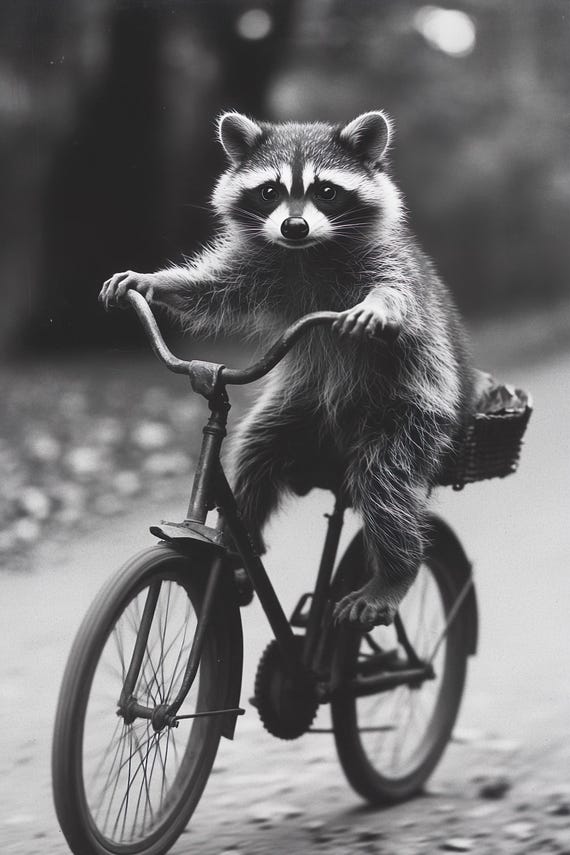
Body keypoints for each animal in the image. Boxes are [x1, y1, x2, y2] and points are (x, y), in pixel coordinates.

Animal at [100, 110, 476, 627]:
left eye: (327, 191)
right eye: (269, 191)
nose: (294, 226)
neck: (307, 251)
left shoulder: (390, 264)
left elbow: (395, 293)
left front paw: (380, 306)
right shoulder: (259, 262)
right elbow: (213, 291)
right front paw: (155, 281)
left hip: (412, 415)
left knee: (387, 488)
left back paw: (394, 573)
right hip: (299, 408)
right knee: (255, 455)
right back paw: (241, 543)